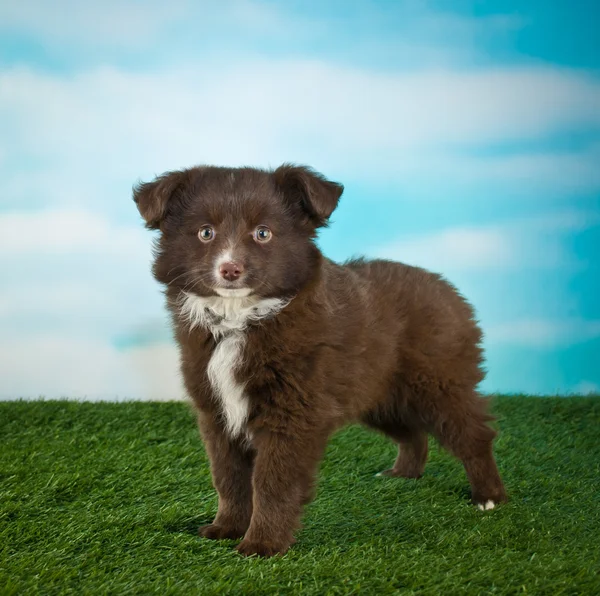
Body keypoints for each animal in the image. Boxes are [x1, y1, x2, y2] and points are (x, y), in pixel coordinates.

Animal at [132, 164, 506, 560]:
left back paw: (489, 497)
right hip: (381, 396)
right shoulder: (216, 412)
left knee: (472, 432)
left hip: (438, 382)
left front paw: (262, 544)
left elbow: (272, 480)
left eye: (263, 233)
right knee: (413, 433)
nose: (230, 270)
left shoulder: (293, 412)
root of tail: (451, 292)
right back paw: (403, 474)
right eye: (206, 232)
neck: (240, 318)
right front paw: (226, 528)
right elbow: (228, 475)